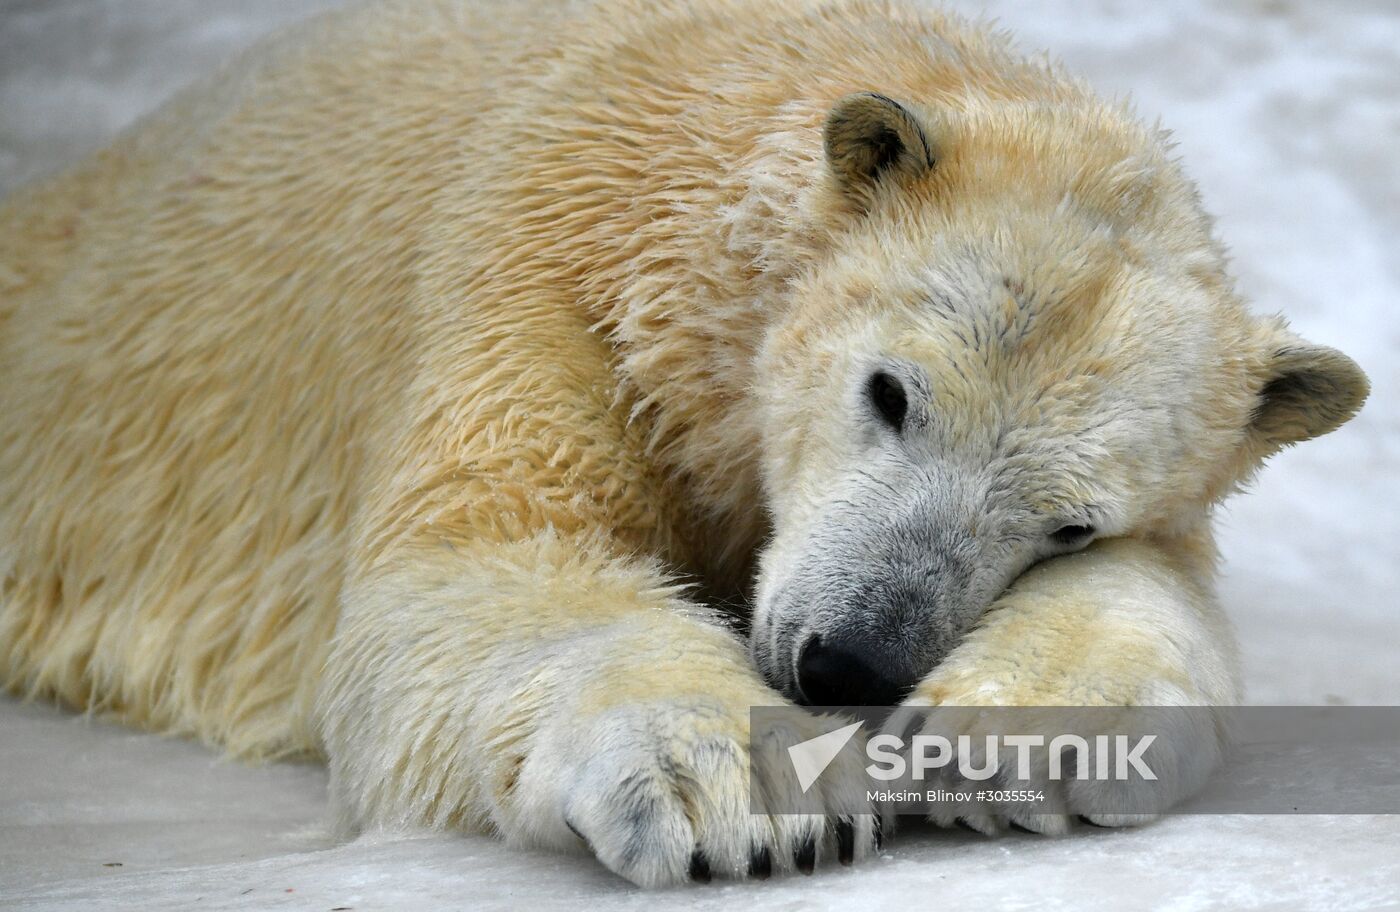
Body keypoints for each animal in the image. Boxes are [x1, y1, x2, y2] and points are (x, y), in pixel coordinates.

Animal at [0, 0, 1366, 890]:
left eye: (1068, 522)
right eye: (889, 392)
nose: (844, 661)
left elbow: (1160, 594)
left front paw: (1002, 741)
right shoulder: (553, 287)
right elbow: (481, 555)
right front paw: (755, 788)